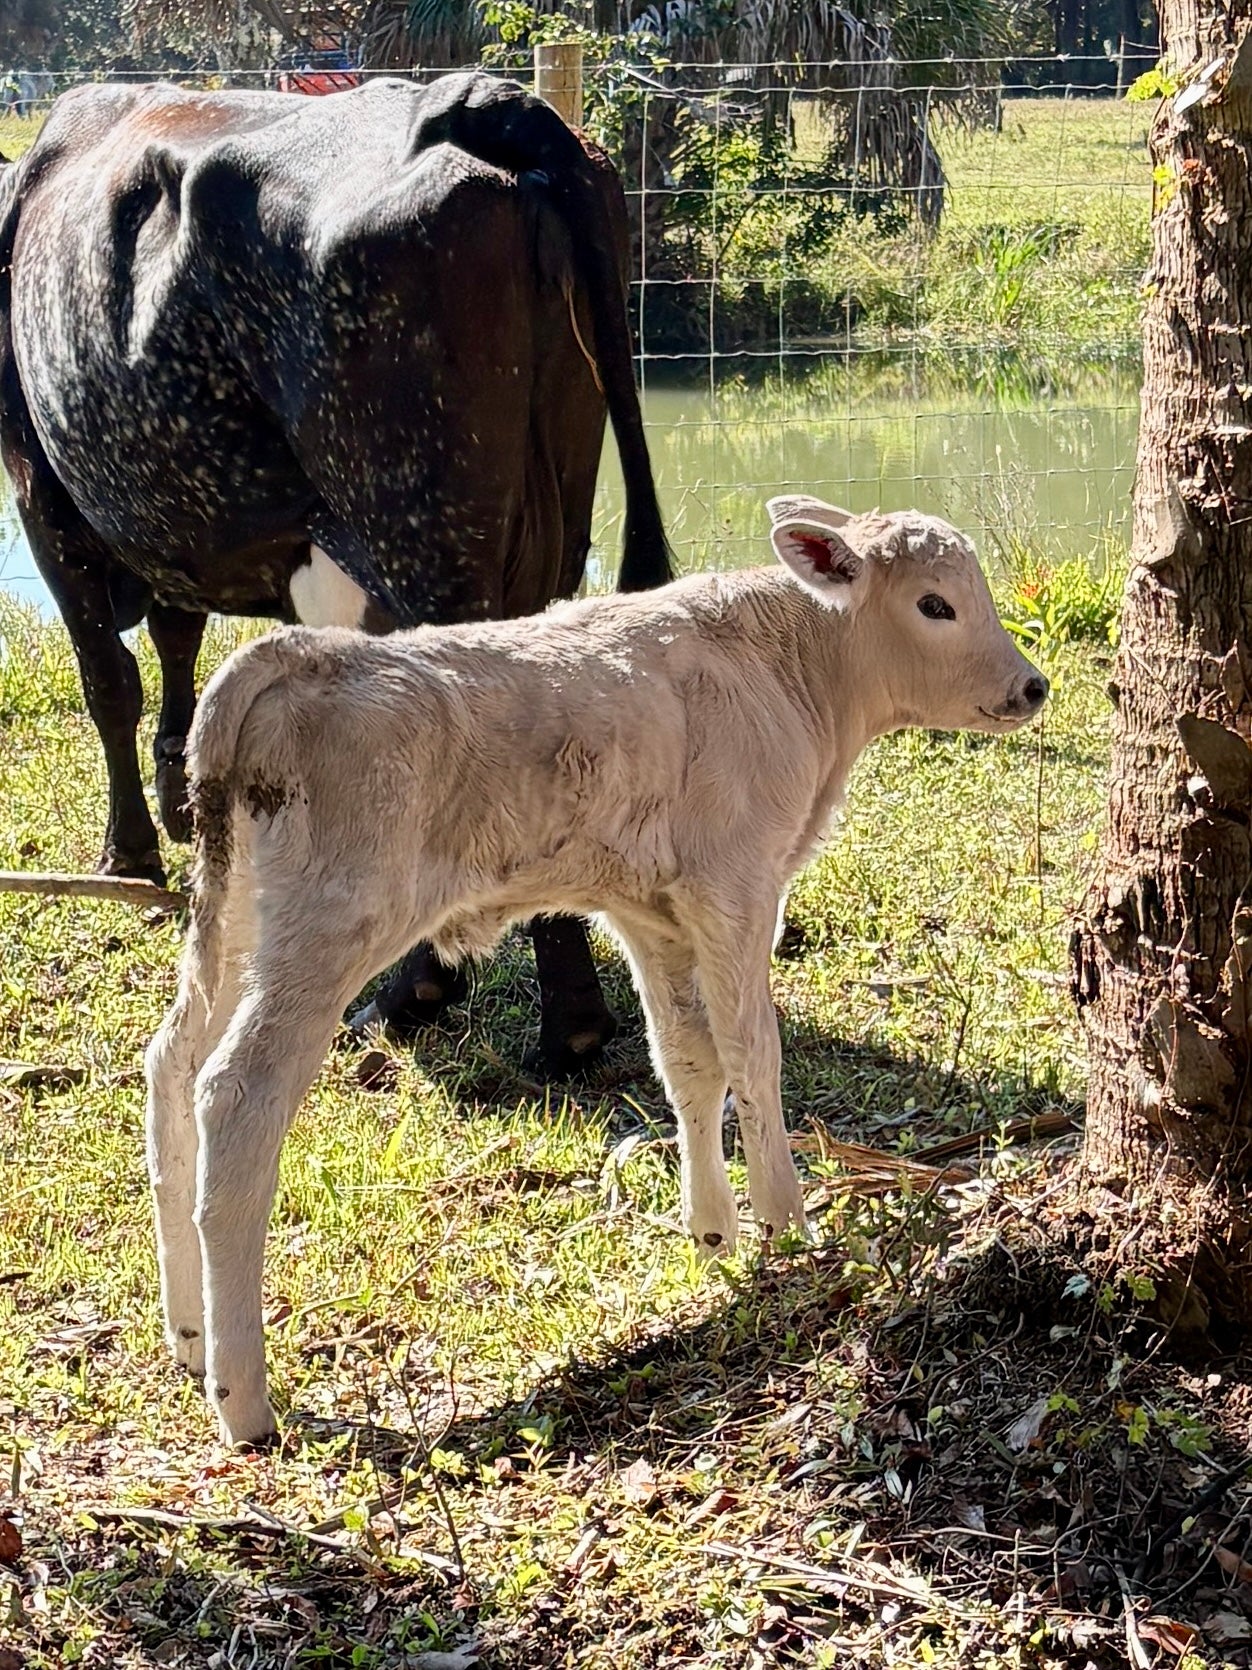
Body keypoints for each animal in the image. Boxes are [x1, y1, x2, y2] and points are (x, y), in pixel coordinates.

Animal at [0, 70, 672, 1074]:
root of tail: (485, 100)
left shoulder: (42, 494)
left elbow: (109, 681)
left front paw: (130, 855)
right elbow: (174, 640)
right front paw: (178, 803)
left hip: (420, 539)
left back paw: (419, 995)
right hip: (548, 527)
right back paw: (570, 1023)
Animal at [144, 494, 1049, 1447]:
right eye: (935, 605)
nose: (1032, 686)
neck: (785, 666)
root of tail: (295, 654)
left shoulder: (650, 910)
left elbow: (688, 1063)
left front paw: (713, 1234)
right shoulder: (737, 886)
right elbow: (753, 1055)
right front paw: (786, 1224)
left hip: (238, 914)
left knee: (171, 1061)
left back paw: (189, 1336)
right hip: (328, 926)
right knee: (237, 1097)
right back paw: (243, 1399)